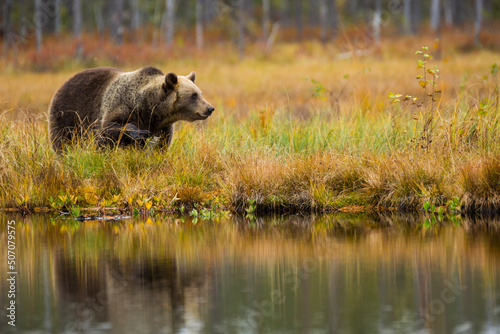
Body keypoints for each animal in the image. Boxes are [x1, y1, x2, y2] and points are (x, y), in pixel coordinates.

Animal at [48, 66, 215, 153]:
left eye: (200, 93)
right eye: (194, 95)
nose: (210, 108)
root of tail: (62, 85)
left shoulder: (163, 126)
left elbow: (161, 144)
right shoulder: (120, 106)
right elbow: (108, 129)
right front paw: (141, 133)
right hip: (68, 115)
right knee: (63, 142)